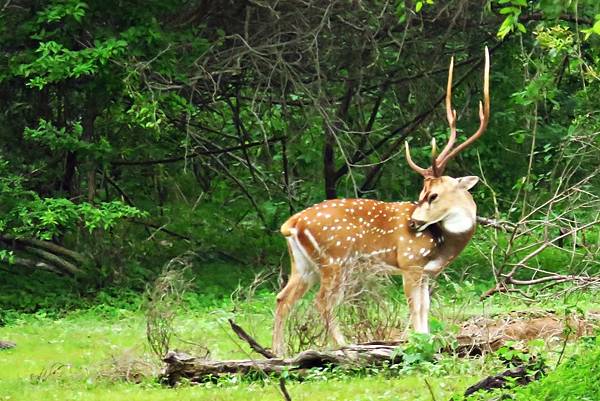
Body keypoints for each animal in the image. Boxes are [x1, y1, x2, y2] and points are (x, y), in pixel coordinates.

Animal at [274, 47, 490, 356]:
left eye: (432, 194)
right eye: (422, 193)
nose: (413, 223)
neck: (443, 243)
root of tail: (291, 224)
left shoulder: (425, 272)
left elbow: (426, 309)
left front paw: (428, 344)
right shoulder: (410, 262)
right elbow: (415, 310)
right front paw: (416, 344)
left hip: (304, 264)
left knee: (283, 298)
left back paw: (277, 352)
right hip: (335, 259)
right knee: (322, 302)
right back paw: (344, 346)